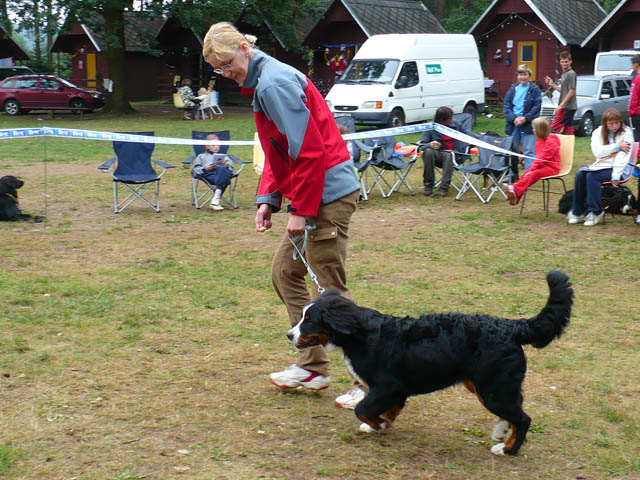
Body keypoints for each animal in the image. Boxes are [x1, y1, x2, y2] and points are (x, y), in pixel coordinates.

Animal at [288, 272, 572, 456]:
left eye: (309, 320)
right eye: (302, 316)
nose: (289, 335)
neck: (361, 333)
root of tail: (512, 326)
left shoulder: (387, 386)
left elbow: (363, 408)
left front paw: (377, 424)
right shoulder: (396, 390)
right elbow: (388, 409)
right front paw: (381, 424)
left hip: (494, 388)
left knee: (523, 419)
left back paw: (508, 449)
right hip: (486, 386)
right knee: (515, 412)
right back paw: (502, 433)